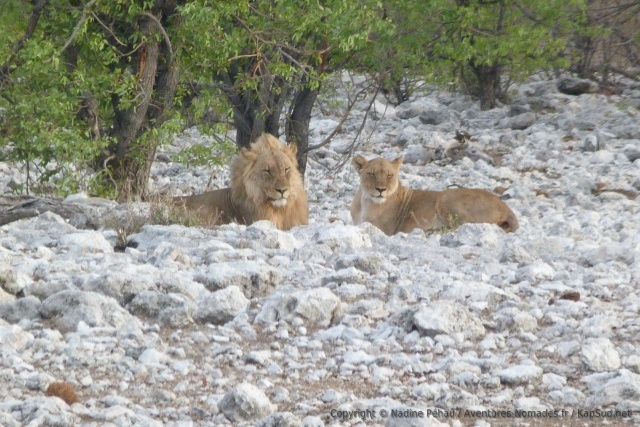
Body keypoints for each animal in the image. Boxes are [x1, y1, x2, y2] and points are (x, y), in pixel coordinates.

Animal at [350, 155, 519, 235]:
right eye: (372, 174)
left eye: (390, 175)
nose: (381, 189)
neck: (365, 202)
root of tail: (505, 207)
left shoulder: (382, 229)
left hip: (445, 198)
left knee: (458, 227)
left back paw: (430, 231)